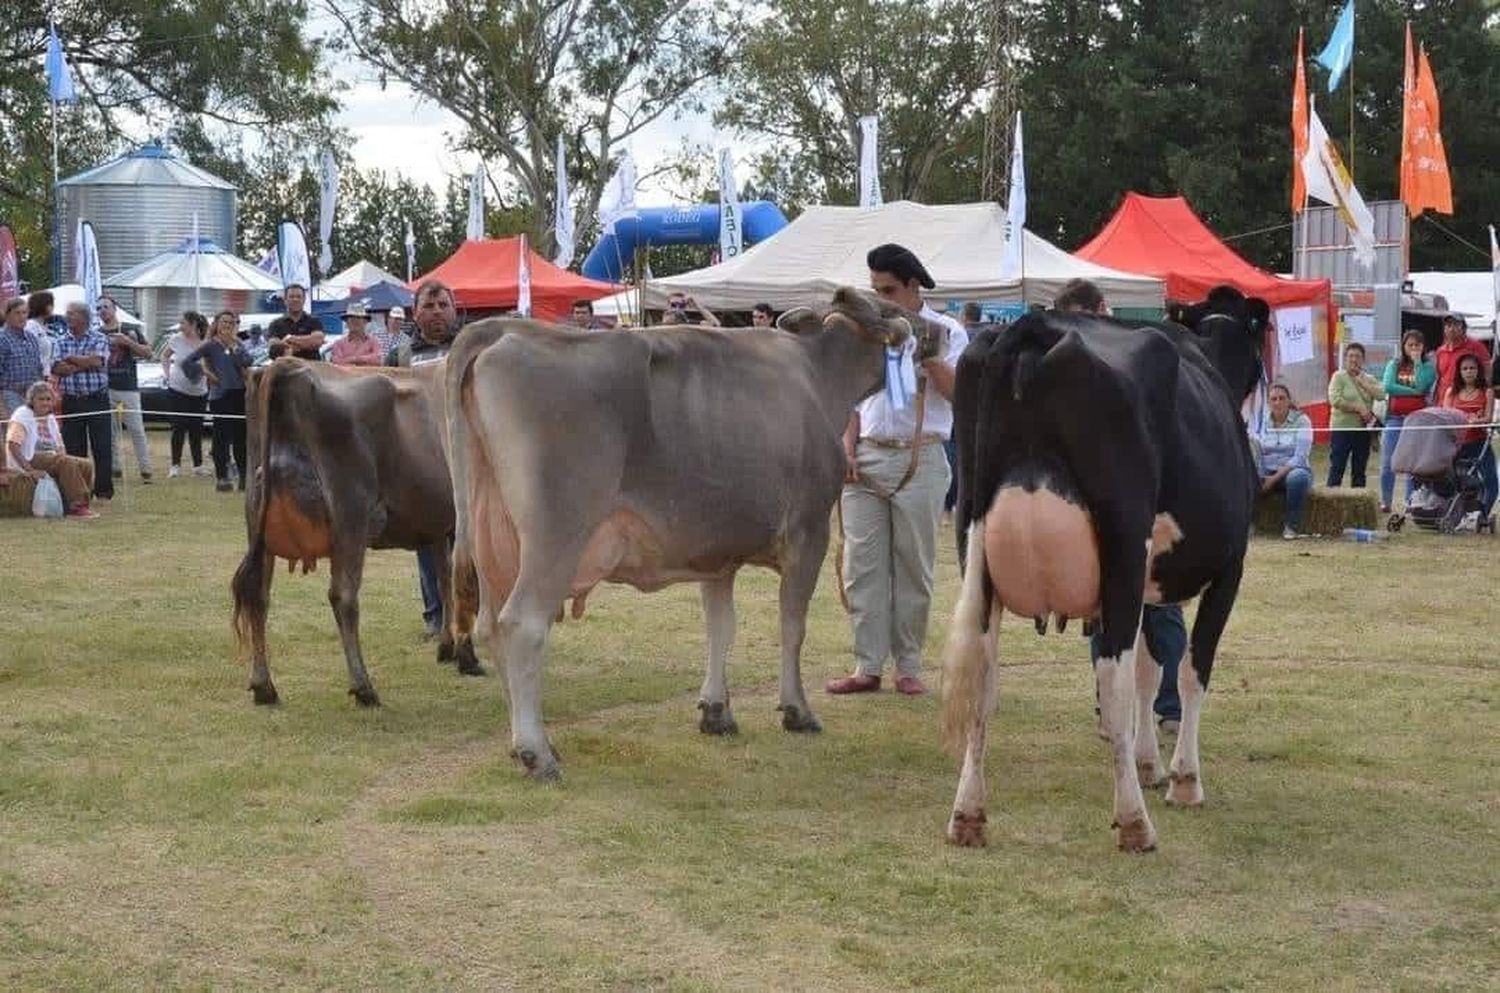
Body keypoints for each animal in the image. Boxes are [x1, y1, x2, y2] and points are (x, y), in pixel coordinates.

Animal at [438, 288, 948, 780]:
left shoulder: (716, 552)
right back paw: (536, 753)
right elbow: (792, 626)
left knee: (490, 626)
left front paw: (716, 712)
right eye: (897, 308)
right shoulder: (809, 533)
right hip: (557, 533)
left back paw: (522, 743)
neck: (818, 375)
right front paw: (797, 710)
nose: (943, 330)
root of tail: (502, 330)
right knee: (521, 624)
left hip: (492, 537)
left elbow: (720, 627)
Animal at [942, 283, 1272, 852]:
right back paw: (1135, 823)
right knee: (1110, 682)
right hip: (1122, 542)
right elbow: (1190, 670)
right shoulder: (1229, 567)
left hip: (975, 543)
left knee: (982, 684)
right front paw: (1183, 779)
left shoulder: (1148, 586)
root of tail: (1031, 327)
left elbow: (1150, 668)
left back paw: (967, 815)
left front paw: (1148, 763)